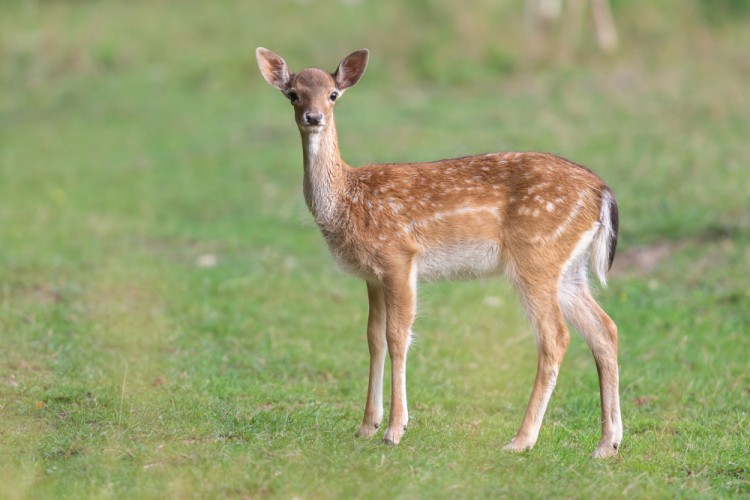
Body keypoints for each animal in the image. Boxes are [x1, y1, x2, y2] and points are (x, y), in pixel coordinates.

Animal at [256, 47, 624, 458]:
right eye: (293, 94)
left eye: (333, 94)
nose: (313, 117)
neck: (347, 199)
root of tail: (602, 192)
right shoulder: (372, 274)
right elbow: (372, 338)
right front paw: (366, 426)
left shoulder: (399, 255)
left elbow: (398, 336)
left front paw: (395, 429)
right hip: (569, 268)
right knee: (605, 329)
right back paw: (607, 444)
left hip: (537, 255)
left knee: (556, 337)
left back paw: (521, 440)